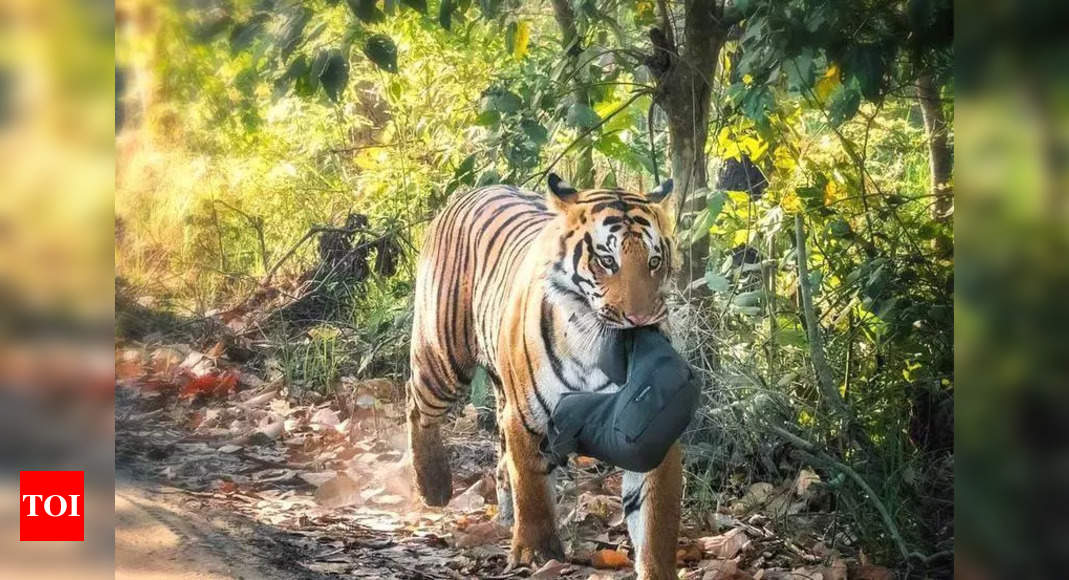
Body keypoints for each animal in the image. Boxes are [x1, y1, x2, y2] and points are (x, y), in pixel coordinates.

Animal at [406, 173, 682, 579]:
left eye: (655, 261)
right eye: (607, 260)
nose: (641, 319)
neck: (594, 344)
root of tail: (476, 189)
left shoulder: (651, 431)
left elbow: (656, 518)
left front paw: (657, 568)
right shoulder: (527, 417)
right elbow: (532, 489)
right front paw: (535, 554)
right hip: (442, 355)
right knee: (416, 402)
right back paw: (433, 485)